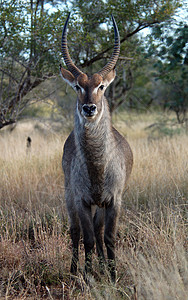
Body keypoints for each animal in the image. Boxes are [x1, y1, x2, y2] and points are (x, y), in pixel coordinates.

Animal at [59, 13, 132, 282]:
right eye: (77, 86)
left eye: (101, 86)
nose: (89, 108)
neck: (98, 165)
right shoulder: (82, 200)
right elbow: (87, 238)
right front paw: (87, 276)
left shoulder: (114, 200)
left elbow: (108, 237)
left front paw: (112, 275)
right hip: (69, 195)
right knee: (75, 231)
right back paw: (72, 271)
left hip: (101, 205)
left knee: (99, 231)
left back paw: (102, 266)